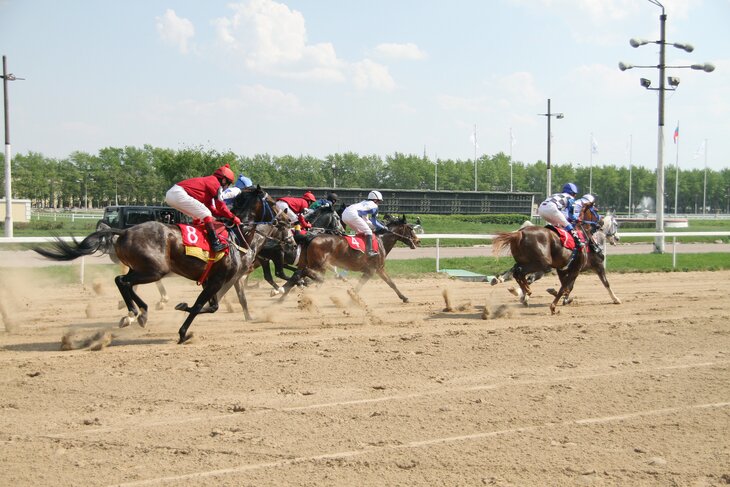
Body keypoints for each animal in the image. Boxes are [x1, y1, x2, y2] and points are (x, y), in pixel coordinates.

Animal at [34, 185, 291, 343]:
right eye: (272, 202)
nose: (289, 221)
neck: (238, 236)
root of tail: (124, 231)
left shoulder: (219, 279)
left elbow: (212, 305)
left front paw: (183, 307)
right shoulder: (219, 279)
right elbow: (202, 305)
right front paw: (183, 331)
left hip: (144, 268)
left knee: (124, 282)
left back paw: (138, 312)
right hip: (154, 270)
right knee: (122, 280)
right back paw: (136, 312)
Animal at [279, 215, 420, 302]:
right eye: (410, 228)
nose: (418, 241)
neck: (381, 240)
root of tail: (311, 237)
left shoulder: (378, 269)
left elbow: (391, 283)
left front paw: (404, 297)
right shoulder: (372, 270)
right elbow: (360, 287)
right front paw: (351, 299)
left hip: (309, 263)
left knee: (298, 274)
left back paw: (281, 295)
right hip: (318, 264)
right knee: (305, 274)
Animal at [491, 204, 621, 314]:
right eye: (616, 224)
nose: (617, 238)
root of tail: (519, 233)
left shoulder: (564, 269)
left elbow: (566, 286)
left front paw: (562, 297)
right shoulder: (589, 266)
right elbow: (604, 283)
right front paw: (616, 299)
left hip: (526, 261)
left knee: (517, 271)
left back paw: (515, 288)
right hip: (542, 264)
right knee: (521, 273)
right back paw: (523, 292)